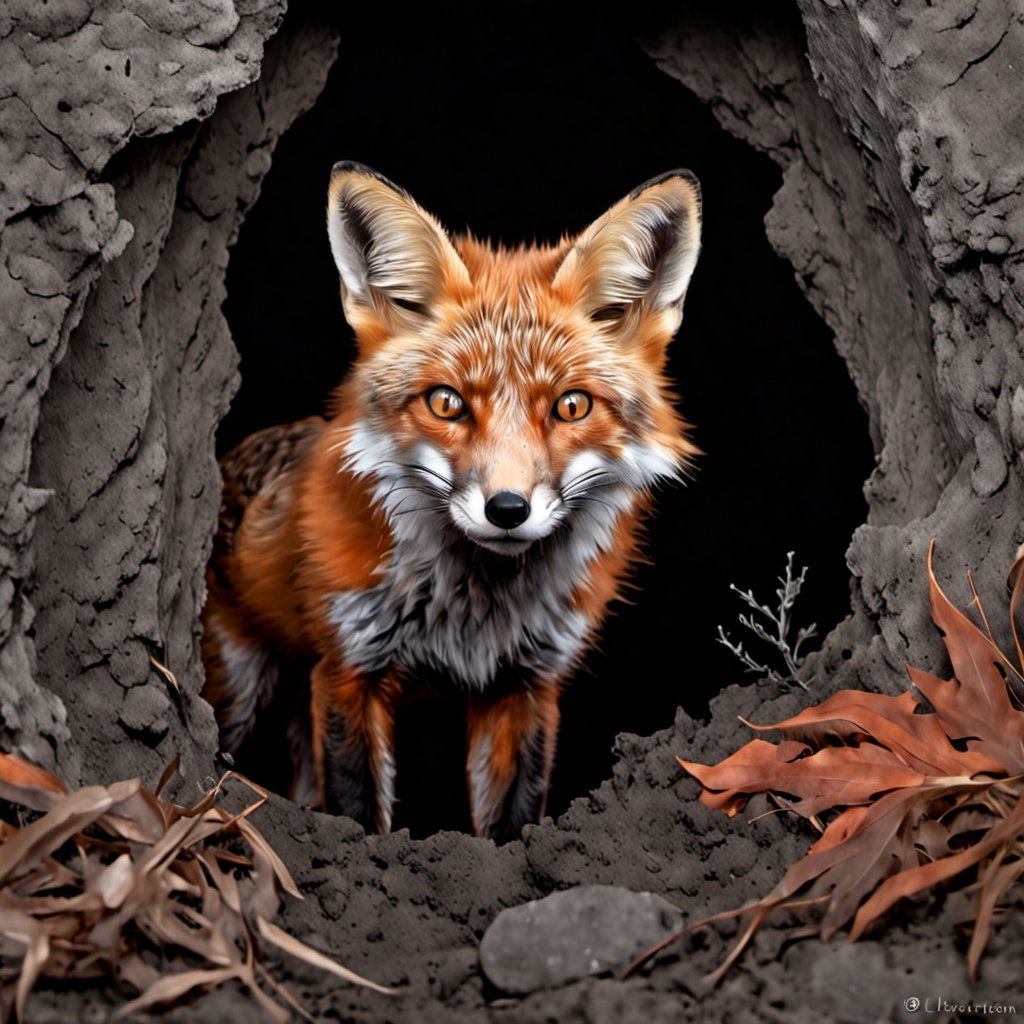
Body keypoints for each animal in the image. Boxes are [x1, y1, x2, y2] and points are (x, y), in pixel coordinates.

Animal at [201, 162, 702, 841]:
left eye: (572, 406)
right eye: (447, 403)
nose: (508, 509)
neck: (475, 610)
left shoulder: (527, 686)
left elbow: (512, 819)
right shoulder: (348, 669)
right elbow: (360, 814)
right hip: (237, 686)